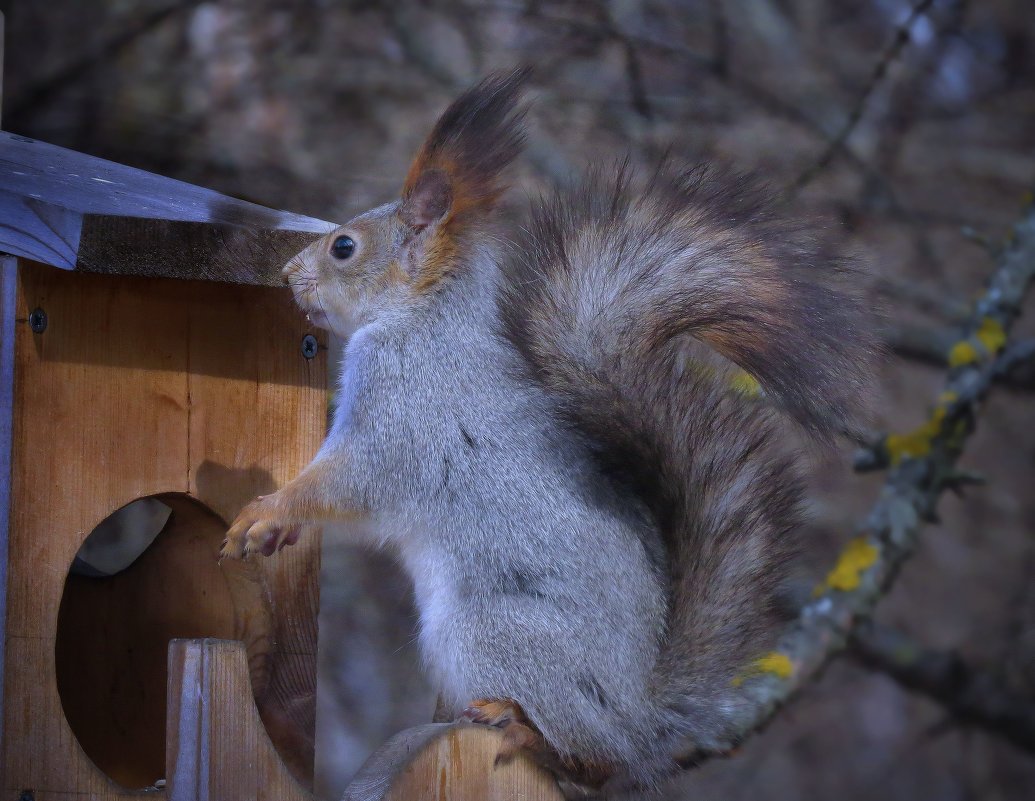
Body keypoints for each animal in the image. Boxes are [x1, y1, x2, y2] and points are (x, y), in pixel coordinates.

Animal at [220, 68, 873, 794]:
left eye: (344, 246)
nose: (286, 276)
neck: (423, 319)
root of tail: (640, 718)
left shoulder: (405, 407)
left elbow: (355, 482)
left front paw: (269, 510)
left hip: (488, 632)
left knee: (590, 757)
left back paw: (526, 727)